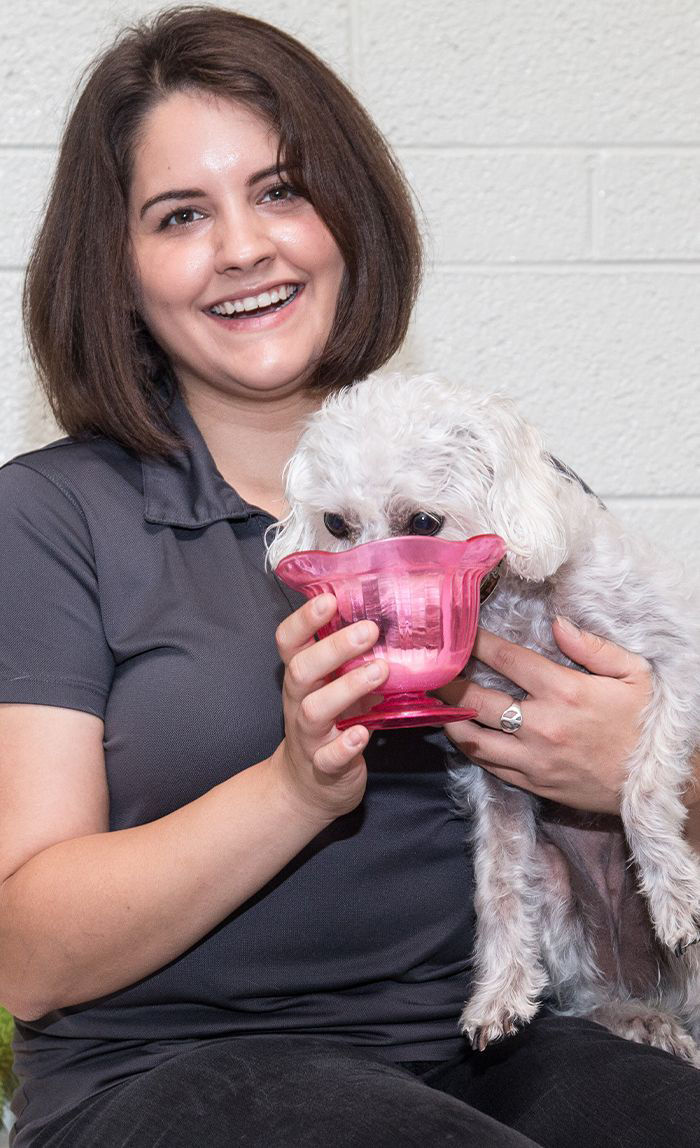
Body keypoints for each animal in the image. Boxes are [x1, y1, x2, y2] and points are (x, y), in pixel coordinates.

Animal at [262, 371, 697, 1060]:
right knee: (593, 993)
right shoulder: (495, 779)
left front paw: (676, 897)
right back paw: (638, 1017)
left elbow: (645, 790)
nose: (369, 621)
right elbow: (495, 885)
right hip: (558, 894)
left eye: (422, 522)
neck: (512, 603)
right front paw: (499, 994)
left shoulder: (677, 657)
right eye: (335, 522)